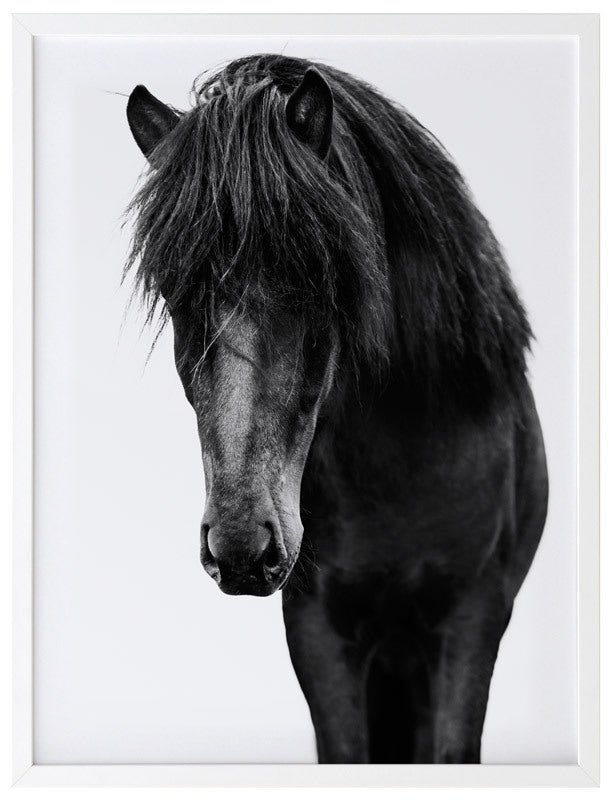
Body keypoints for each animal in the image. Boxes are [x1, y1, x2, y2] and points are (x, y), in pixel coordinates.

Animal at [124, 54, 548, 764]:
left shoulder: (472, 620)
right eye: (174, 289)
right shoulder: (319, 628)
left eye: (318, 277)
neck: (402, 466)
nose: (241, 548)